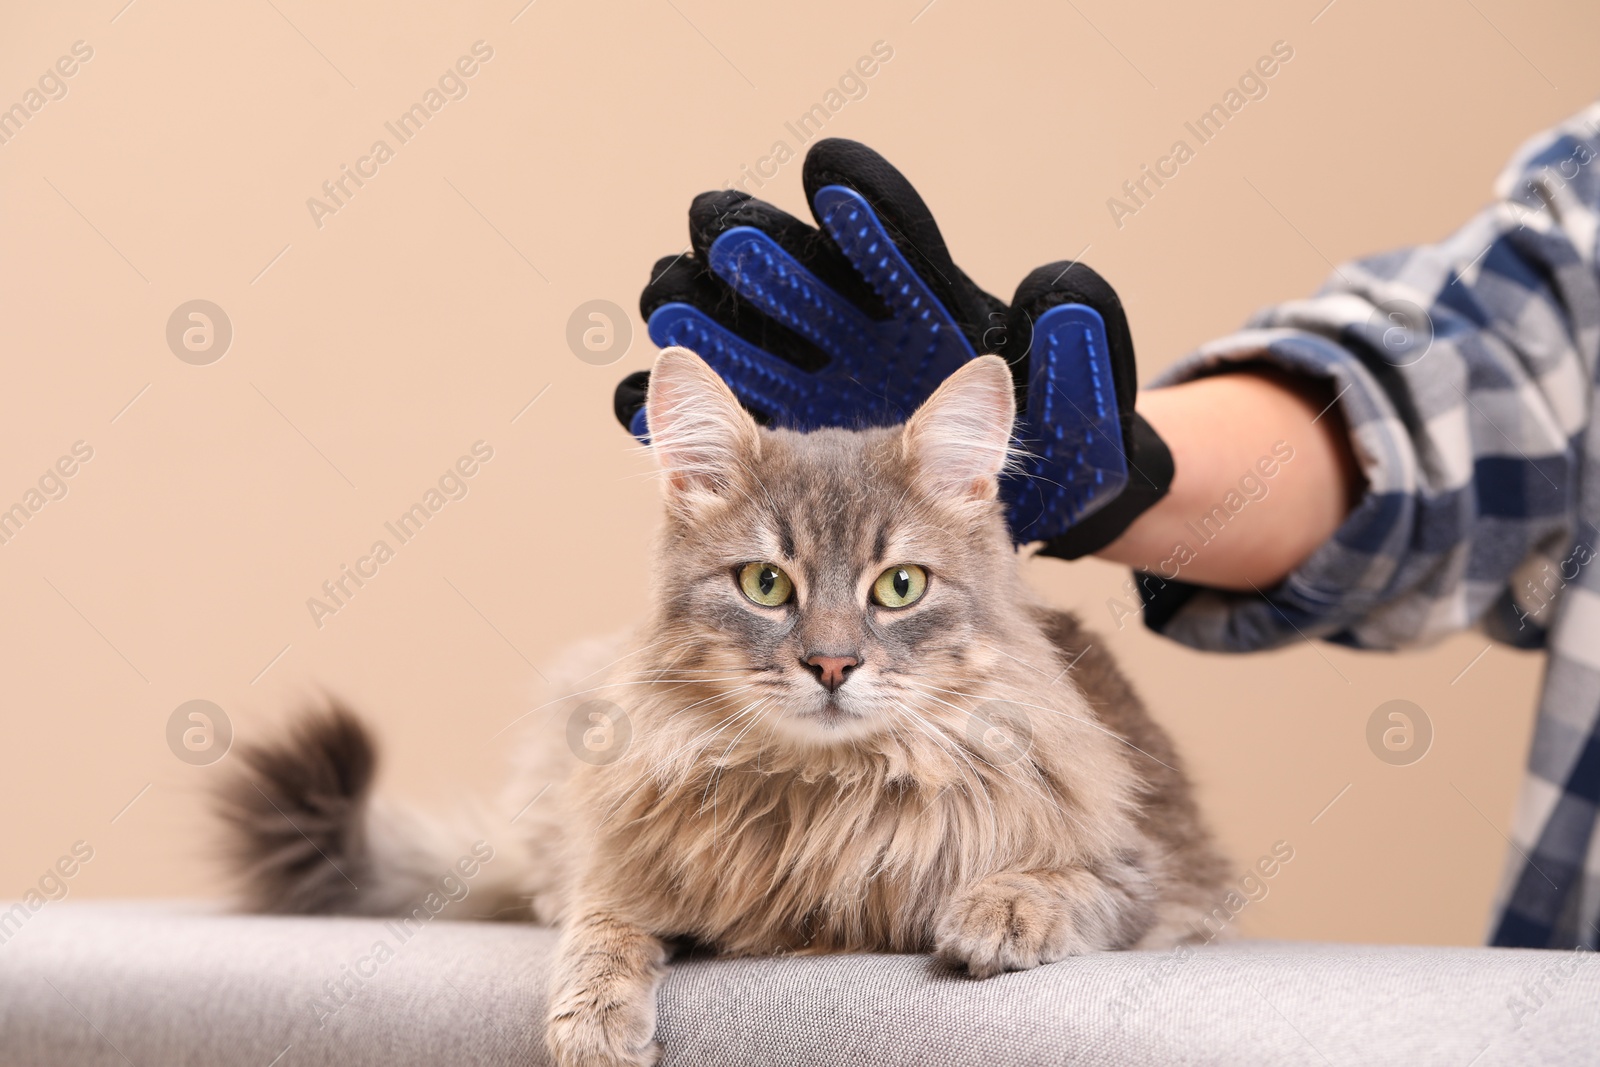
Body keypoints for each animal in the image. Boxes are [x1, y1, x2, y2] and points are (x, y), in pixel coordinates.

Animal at [219, 348, 1228, 1067]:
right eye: (765, 583)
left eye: (899, 586)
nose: (831, 663)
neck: (829, 793)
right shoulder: (619, 851)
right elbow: (601, 920)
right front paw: (592, 1019)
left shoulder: (1158, 878)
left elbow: (1067, 881)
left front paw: (998, 914)